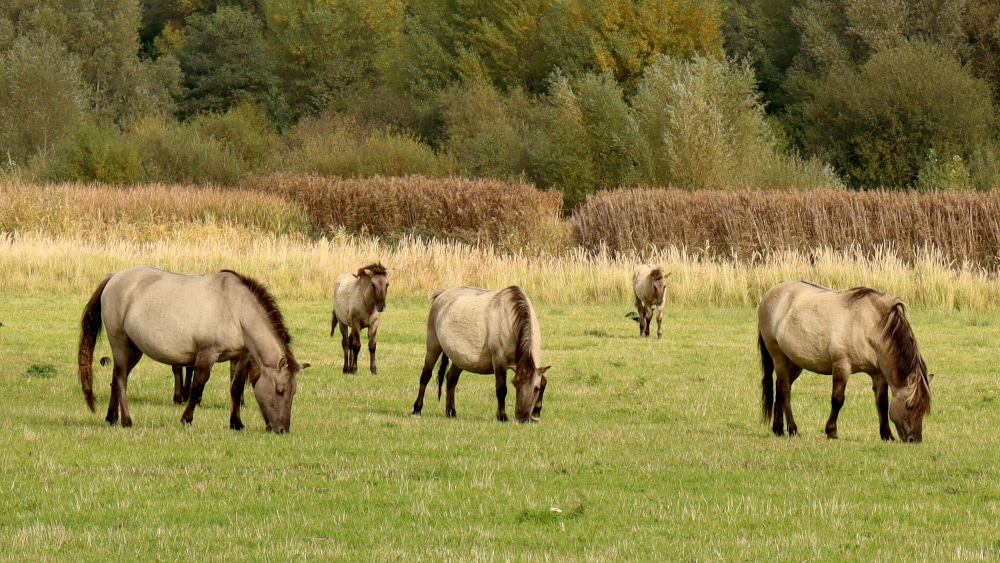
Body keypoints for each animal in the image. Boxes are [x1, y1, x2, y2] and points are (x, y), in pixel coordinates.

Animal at [78, 266, 308, 434]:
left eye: (294, 392)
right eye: (280, 390)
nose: (282, 429)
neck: (236, 309)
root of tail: (114, 277)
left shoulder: (241, 357)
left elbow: (236, 389)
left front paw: (236, 423)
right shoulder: (207, 354)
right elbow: (197, 386)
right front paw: (186, 419)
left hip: (134, 349)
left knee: (117, 377)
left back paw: (112, 418)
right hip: (121, 343)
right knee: (120, 380)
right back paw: (126, 420)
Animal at [410, 286, 552, 424]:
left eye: (536, 388)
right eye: (516, 385)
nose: (521, 418)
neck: (511, 320)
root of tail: (442, 294)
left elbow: (544, 381)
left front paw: (536, 413)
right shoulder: (499, 358)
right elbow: (501, 388)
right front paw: (502, 416)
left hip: (460, 358)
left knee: (451, 379)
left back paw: (451, 412)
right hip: (433, 347)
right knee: (425, 376)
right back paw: (417, 409)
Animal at [760, 282, 932, 446]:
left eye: (923, 409)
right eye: (910, 406)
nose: (914, 440)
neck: (869, 324)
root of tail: (768, 295)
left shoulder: (878, 374)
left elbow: (882, 403)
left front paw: (887, 435)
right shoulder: (841, 366)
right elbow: (837, 399)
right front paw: (831, 432)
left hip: (795, 363)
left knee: (781, 388)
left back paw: (778, 429)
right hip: (779, 359)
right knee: (784, 391)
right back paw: (792, 429)